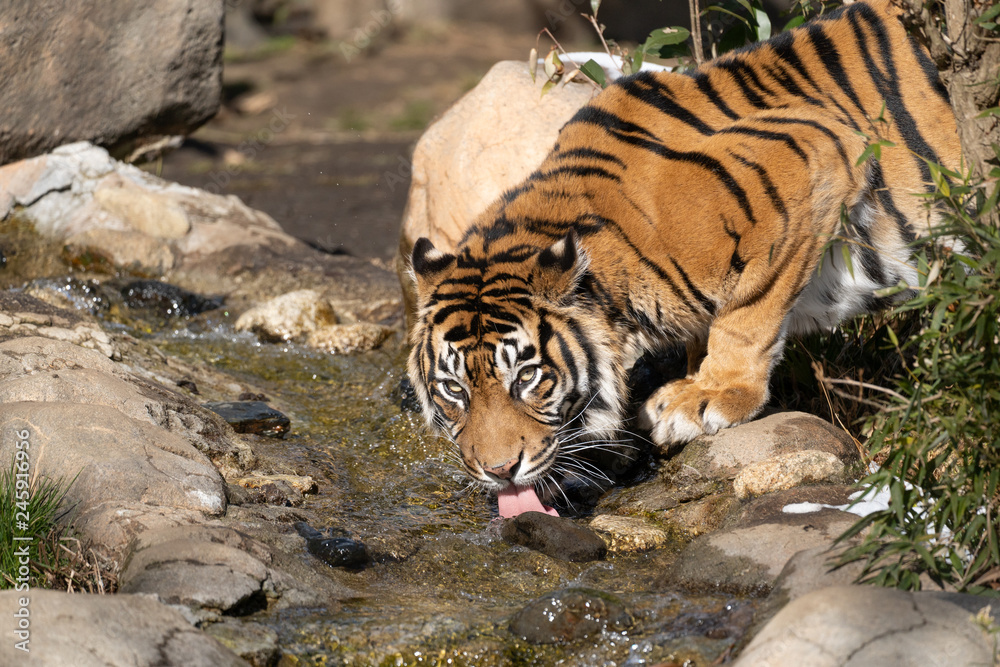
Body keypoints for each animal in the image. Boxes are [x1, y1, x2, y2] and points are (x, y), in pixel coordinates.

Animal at [404, 0, 960, 520]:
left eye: (526, 377)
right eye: (453, 388)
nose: (499, 471)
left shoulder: (815, 153)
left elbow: (747, 313)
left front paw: (713, 394)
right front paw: (687, 382)